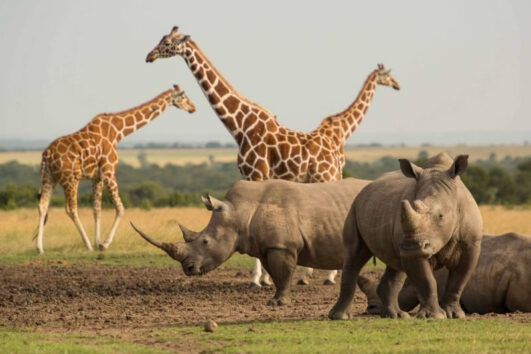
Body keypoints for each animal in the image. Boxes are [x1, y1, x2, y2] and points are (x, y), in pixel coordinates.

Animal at [35, 84, 197, 253]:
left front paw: (98, 242)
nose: (193, 108)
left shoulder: (97, 177)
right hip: (70, 179)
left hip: (48, 177)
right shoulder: (109, 171)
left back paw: (40, 248)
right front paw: (104, 244)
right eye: (184, 97)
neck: (118, 132)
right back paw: (87, 245)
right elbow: (120, 208)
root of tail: (46, 154)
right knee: (71, 209)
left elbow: (97, 209)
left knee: (42, 205)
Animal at [131, 178, 370, 306]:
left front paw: (278, 303)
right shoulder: (266, 247)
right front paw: (274, 300)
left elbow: (283, 275)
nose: (188, 269)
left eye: (205, 242)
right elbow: (276, 275)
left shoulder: (282, 245)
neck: (239, 211)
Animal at [145, 27, 400, 288]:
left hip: (326, 175)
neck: (241, 126)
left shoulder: (257, 172)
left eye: (167, 42)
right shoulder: (251, 175)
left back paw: (327, 276)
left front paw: (258, 280)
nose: (149, 56)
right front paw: (267, 278)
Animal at [330, 152, 484, 320]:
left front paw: (455, 314)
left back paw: (396, 315)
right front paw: (434, 316)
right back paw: (340, 317)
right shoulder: (415, 250)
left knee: (395, 266)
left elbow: (458, 280)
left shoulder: (471, 245)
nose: (412, 247)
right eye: (413, 206)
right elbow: (427, 281)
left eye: (441, 216)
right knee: (355, 254)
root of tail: (366, 186)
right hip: (354, 207)